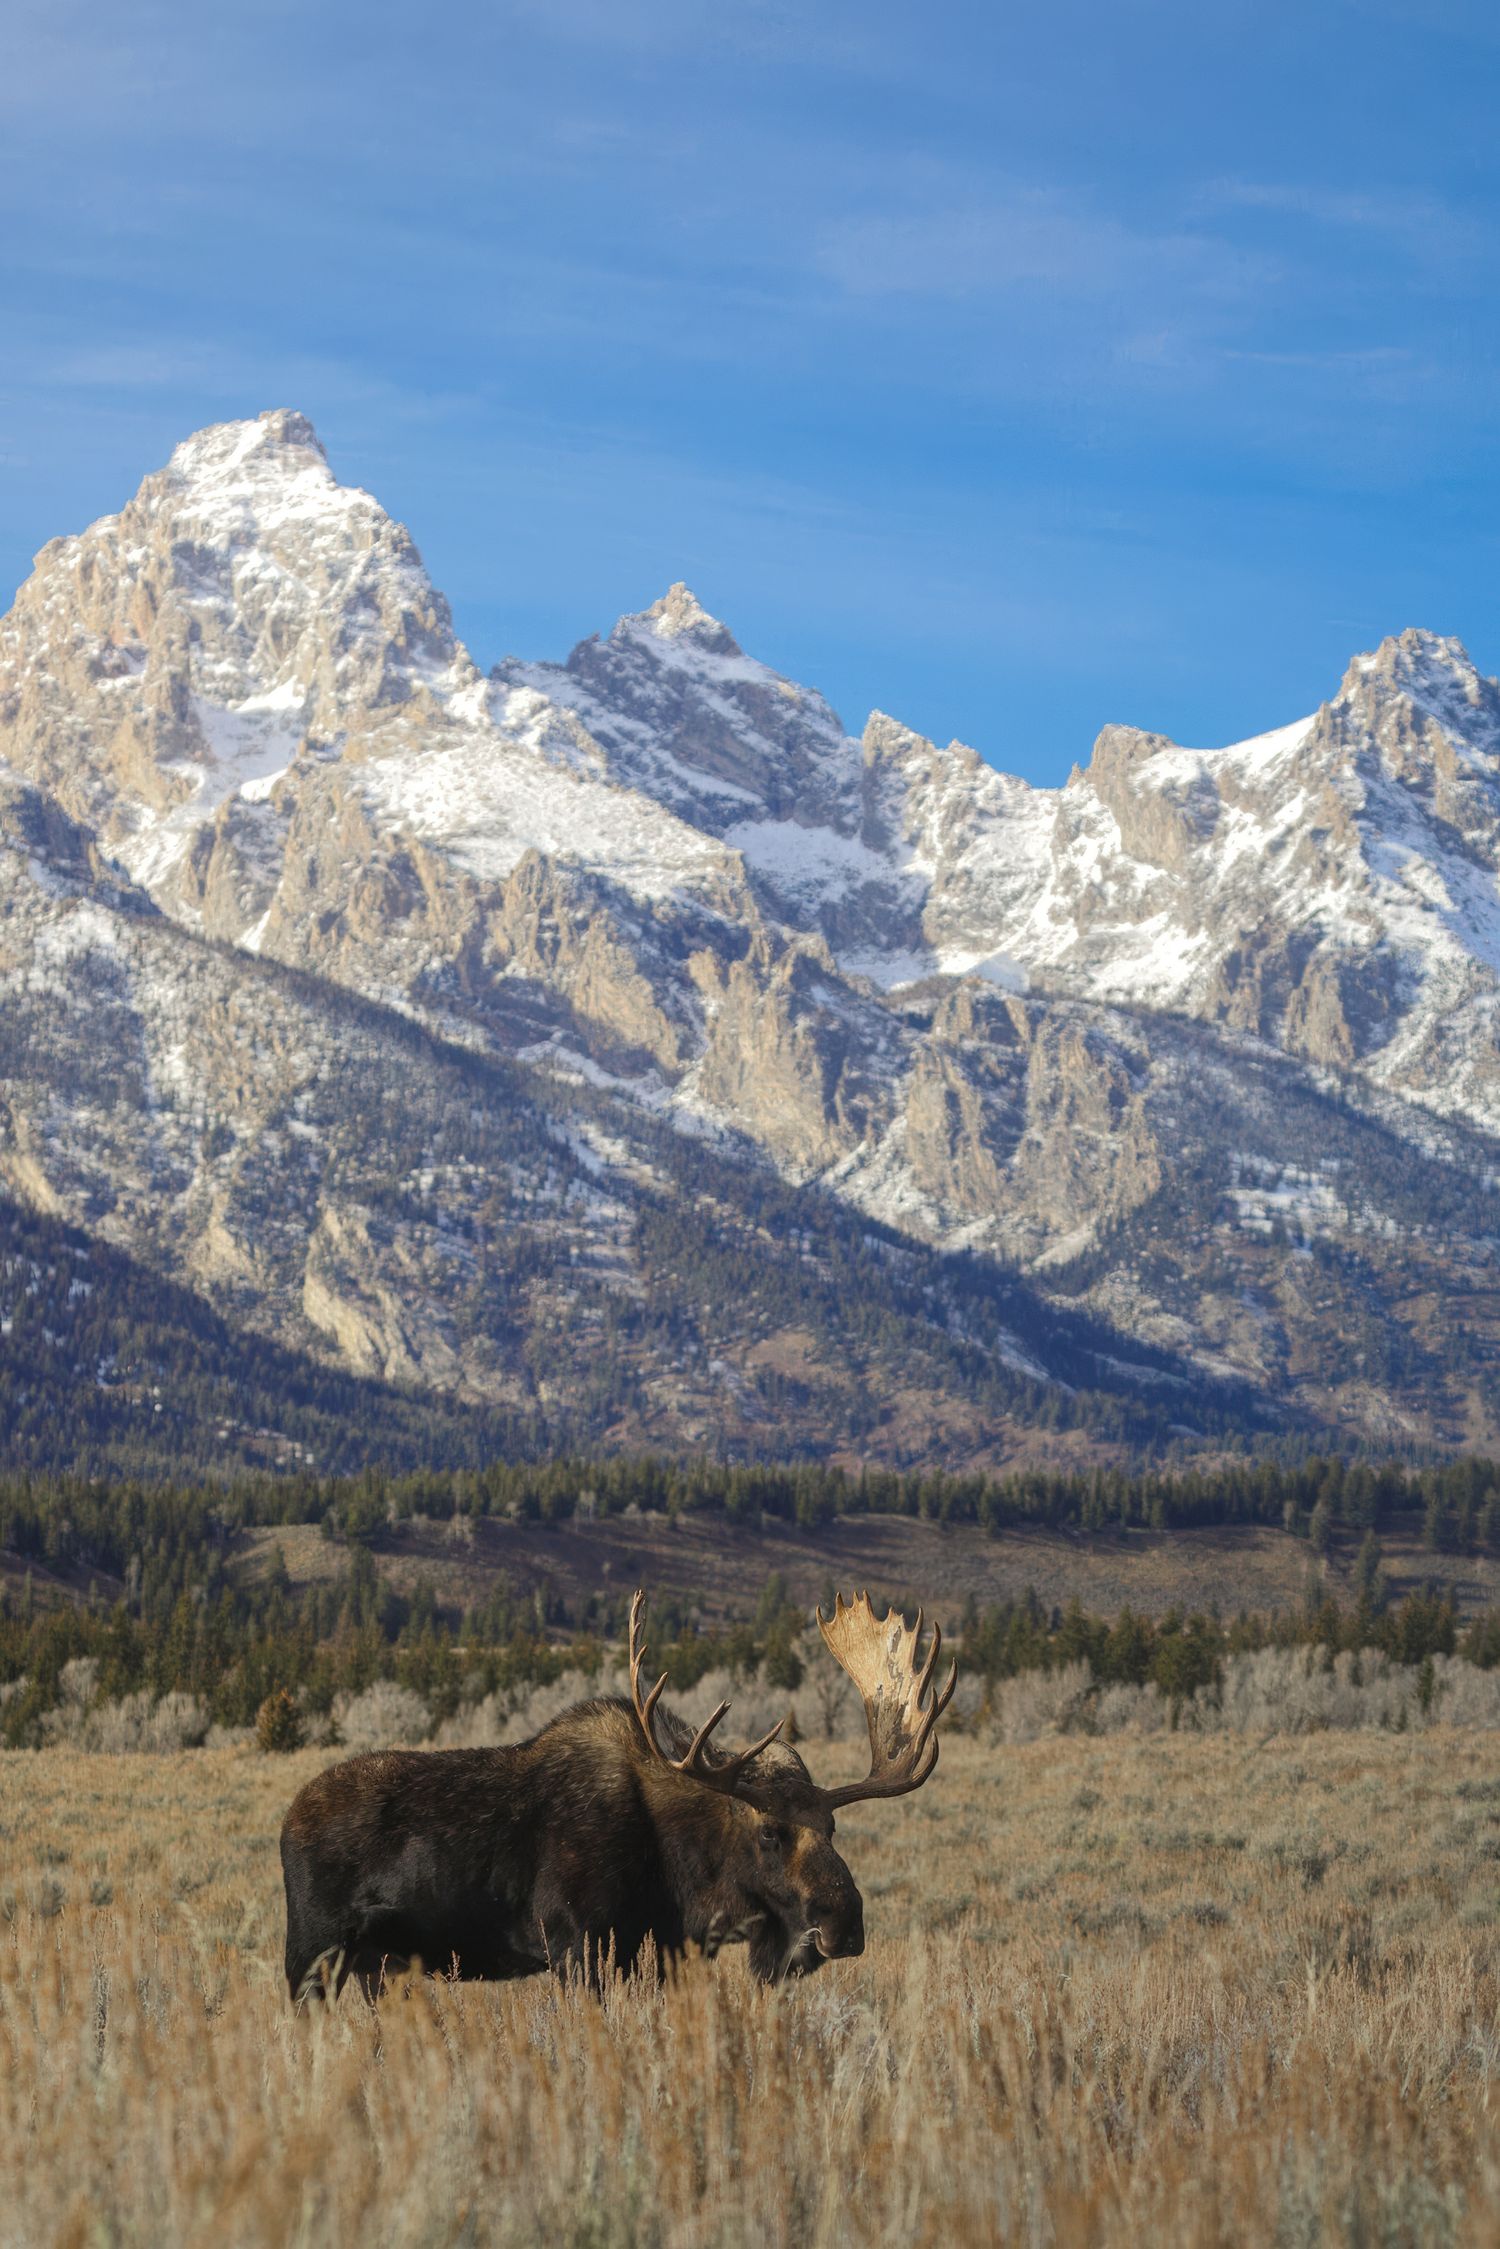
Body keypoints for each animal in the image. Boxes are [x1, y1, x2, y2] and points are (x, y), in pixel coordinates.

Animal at [280, 1588, 955, 2001]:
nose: (845, 1922)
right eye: (770, 1831)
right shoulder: (576, 1945)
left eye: (834, 1829)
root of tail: (286, 1824)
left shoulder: (655, 1955)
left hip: (377, 1968)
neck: (681, 1875)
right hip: (311, 1956)